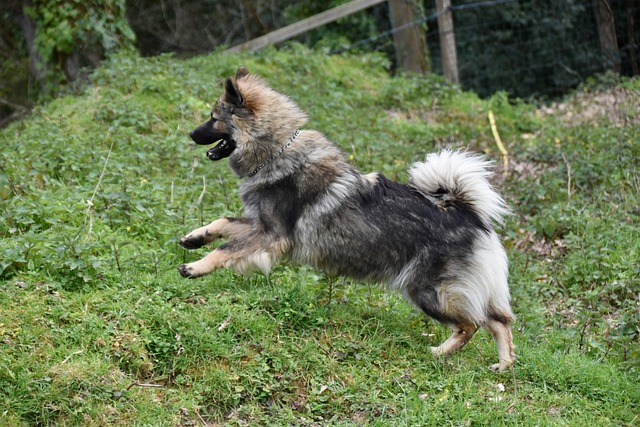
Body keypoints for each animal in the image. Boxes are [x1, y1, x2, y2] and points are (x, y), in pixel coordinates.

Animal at [178, 66, 516, 372]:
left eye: (213, 118)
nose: (190, 134)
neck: (277, 151)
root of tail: (468, 214)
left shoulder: (271, 235)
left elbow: (226, 249)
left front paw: (195, 268)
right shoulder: (262, 225)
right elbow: (223, 223)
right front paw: (194, 238)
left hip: (429, 292)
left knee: (472, 324)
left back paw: (439, 353)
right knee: (500, 321)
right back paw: (503, 364)